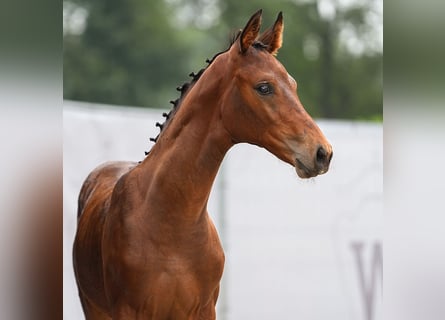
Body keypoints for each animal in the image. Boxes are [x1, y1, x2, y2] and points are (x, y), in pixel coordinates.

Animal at [72, 10, 330, 320]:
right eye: (264, 87)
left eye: (293, 85)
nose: (322, 153)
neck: (172, 224)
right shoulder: (128, 311)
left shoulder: (205, 309)